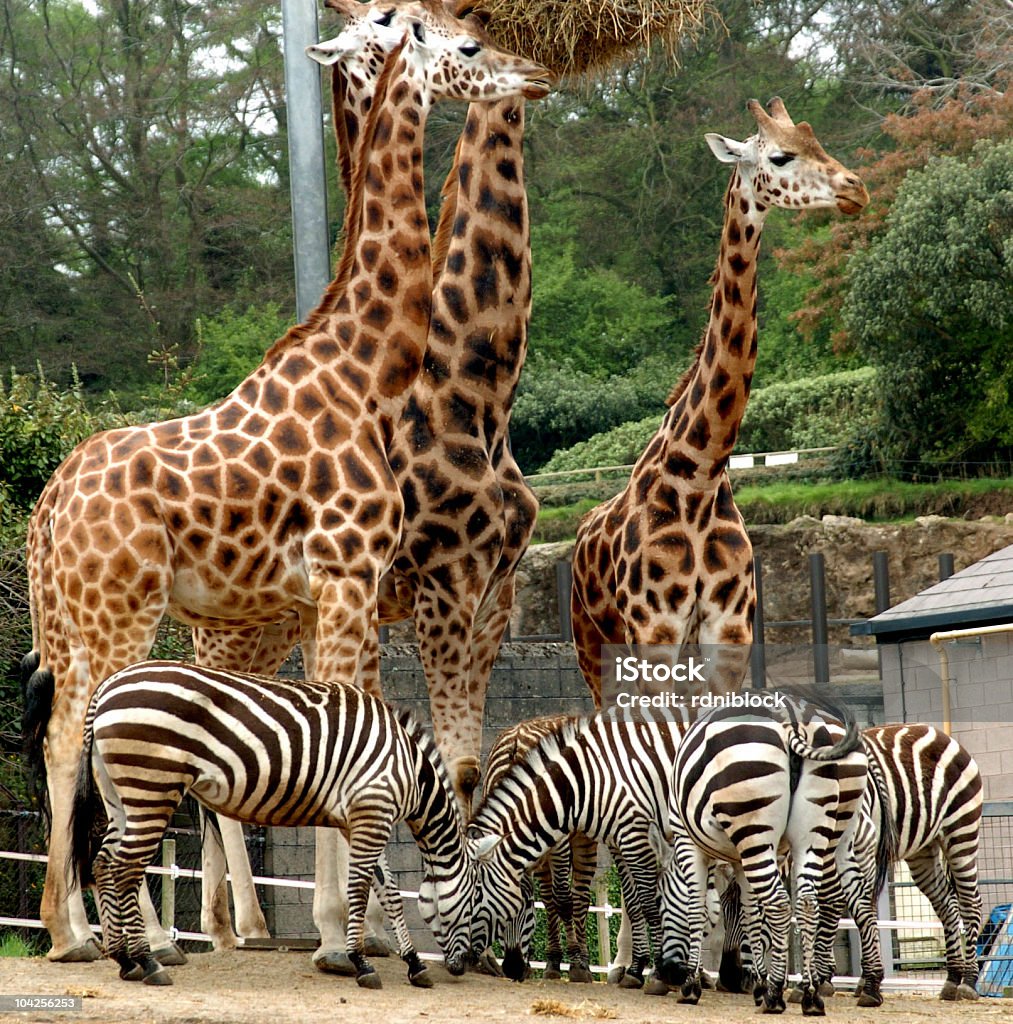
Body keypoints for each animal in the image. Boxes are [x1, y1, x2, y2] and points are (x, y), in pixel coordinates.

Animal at [68, 659, 477, 987]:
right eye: (477, 898)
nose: (468, 964)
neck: (410, 768)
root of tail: (106, 687)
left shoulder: (361, 819)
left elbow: (390, 892)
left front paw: (414, 964)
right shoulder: (372, 811)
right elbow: (361, 887)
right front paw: (361, 963)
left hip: (120, 795)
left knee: (103, 864)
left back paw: (124, 960)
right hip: (151, 786)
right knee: (124, 868)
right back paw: (148, 962)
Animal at [465, 704, 688, 991]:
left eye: (525, 906)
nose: (512, 968)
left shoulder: (567, 838)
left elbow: (567, 898)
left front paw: (577, 964)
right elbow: (552, 899)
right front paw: (556, 961)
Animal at [569, 99, 868, 716]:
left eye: (818, 142)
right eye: (780, 156)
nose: (857, 188)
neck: (700, 476)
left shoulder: (728, 631)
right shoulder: (653, 631)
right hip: (593, 646)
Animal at [655, 696, 868, 1015]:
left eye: (662, 904)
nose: (667, 972)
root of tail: (792, 718)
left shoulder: (687, 841)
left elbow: (697, 909)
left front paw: (691, 987)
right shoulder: (742, 861)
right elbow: (752, 913)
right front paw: (758, 984)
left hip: (753, 826)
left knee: (780, 904)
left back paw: (776, 997)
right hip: (812, 835)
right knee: (808, 904)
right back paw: (811, 996)